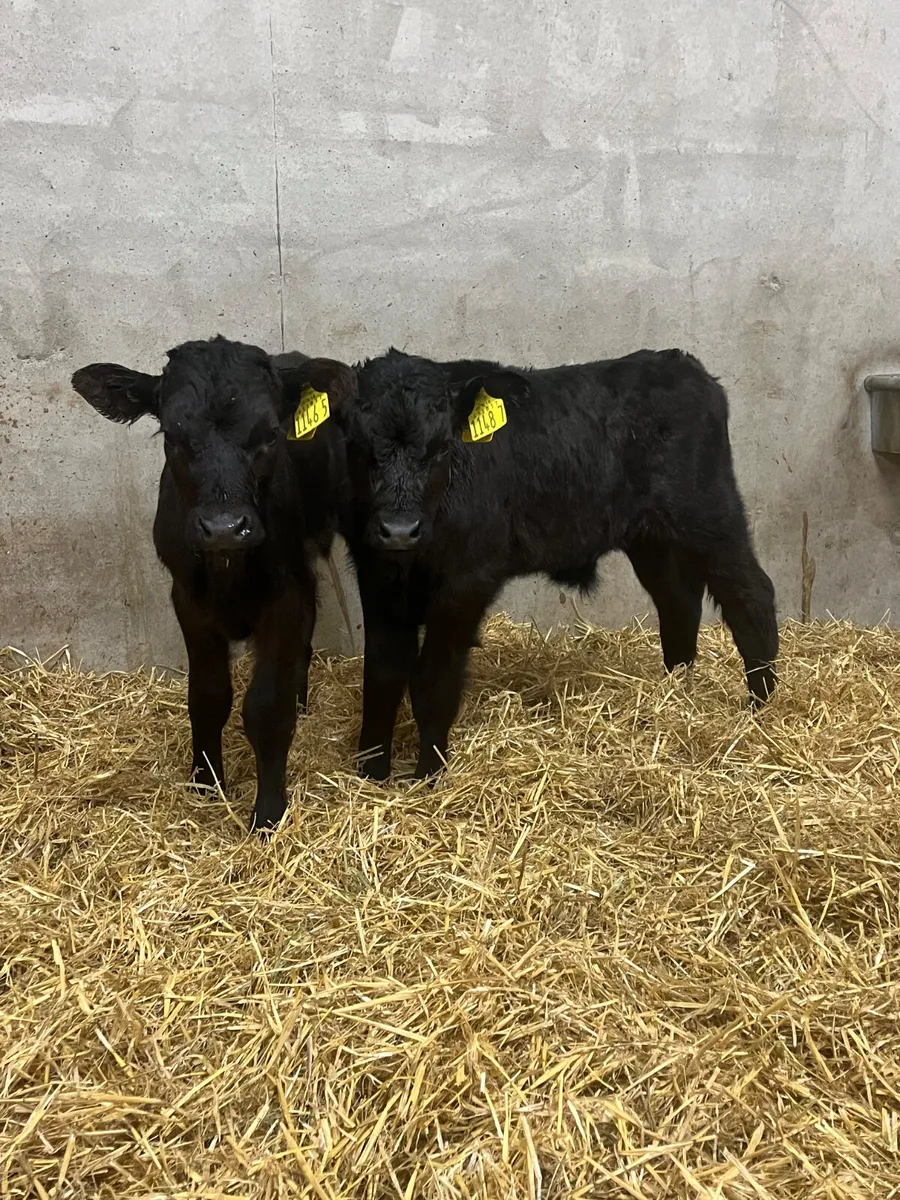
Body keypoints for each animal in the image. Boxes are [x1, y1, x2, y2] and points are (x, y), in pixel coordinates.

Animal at [71, 336, 350, 831]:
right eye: (172, 435)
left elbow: (266, 708)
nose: (224, 528)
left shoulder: (285, 595)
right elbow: (208, 696)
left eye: (271, 433)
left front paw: (268, 813)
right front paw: (206, 783)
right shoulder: (188, 599)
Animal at [285, 347, 778, 782]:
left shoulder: (468, 579)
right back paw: (675, 691)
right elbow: (383, 674)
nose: (400, 529)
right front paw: (371, 775)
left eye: (442, 448)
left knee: (750, 592)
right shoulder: (377, 573)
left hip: (710, 512)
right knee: (679, 601)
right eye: (356, 445)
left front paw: (427, 777)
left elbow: (433, 679)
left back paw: (762, 706)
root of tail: (682, 364)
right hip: (652, 538)